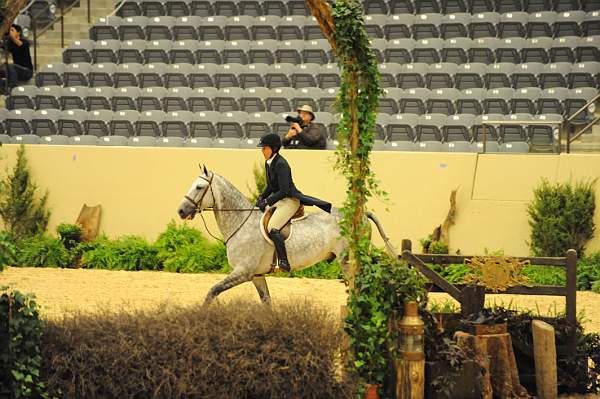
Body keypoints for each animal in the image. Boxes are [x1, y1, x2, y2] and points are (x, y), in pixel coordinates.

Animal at [178, 166, 394, 306]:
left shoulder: (243, 272)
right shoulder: (256, 275)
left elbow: (212, 292)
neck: (241, 222)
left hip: (348, 262)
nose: (181, 211)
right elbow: (267, 303)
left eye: (199, 187)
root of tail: (361, 214)